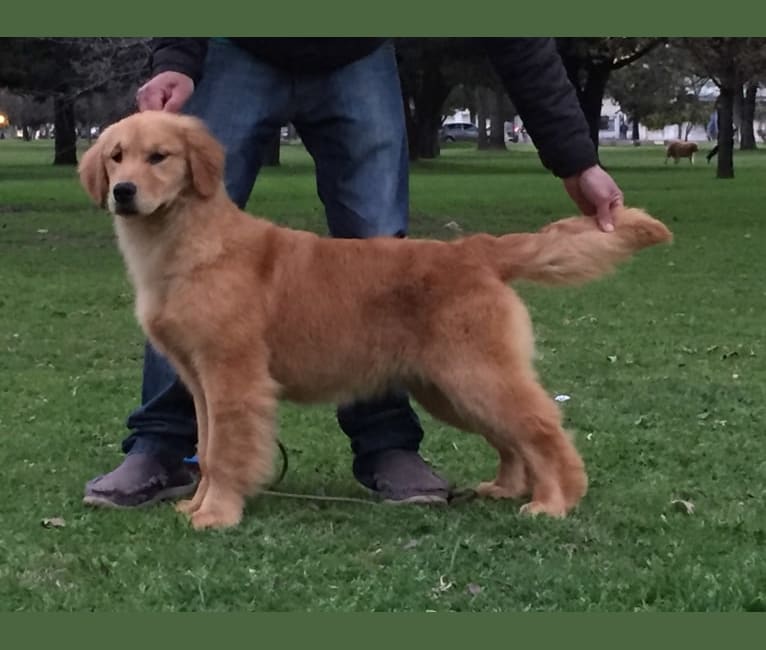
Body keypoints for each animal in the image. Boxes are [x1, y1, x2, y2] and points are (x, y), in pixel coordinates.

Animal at [78, 110, 676, 528]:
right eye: (115, 157)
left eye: (159, 157)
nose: (123, 192)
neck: (189, 244)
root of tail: (477, 250)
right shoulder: (200, 380)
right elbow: (204, 448)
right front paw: (196, 506)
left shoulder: (234, 377)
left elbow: (225, 453)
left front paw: (218, 514)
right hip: (449, 387)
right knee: (514, 439)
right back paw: (507, 488)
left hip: (476, 375)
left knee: (544, 428)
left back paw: (556, 502)